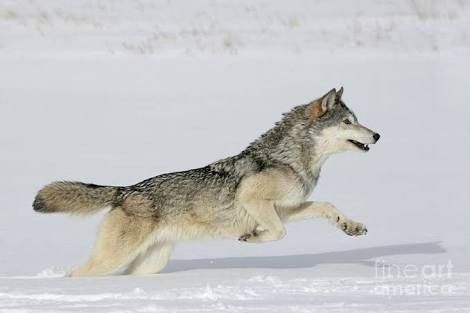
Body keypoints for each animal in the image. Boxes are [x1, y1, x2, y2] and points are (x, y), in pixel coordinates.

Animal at [33, 86, 380, 274]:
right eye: (348, 122)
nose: (377, 135)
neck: (292, 160)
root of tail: (126, 190)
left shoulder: (286, 208)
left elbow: (326, 206)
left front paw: (352, 227)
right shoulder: (253, 200)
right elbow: (279, 233)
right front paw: (251, 238)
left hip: (148, 263)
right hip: (113, 259)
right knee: (75, 275)